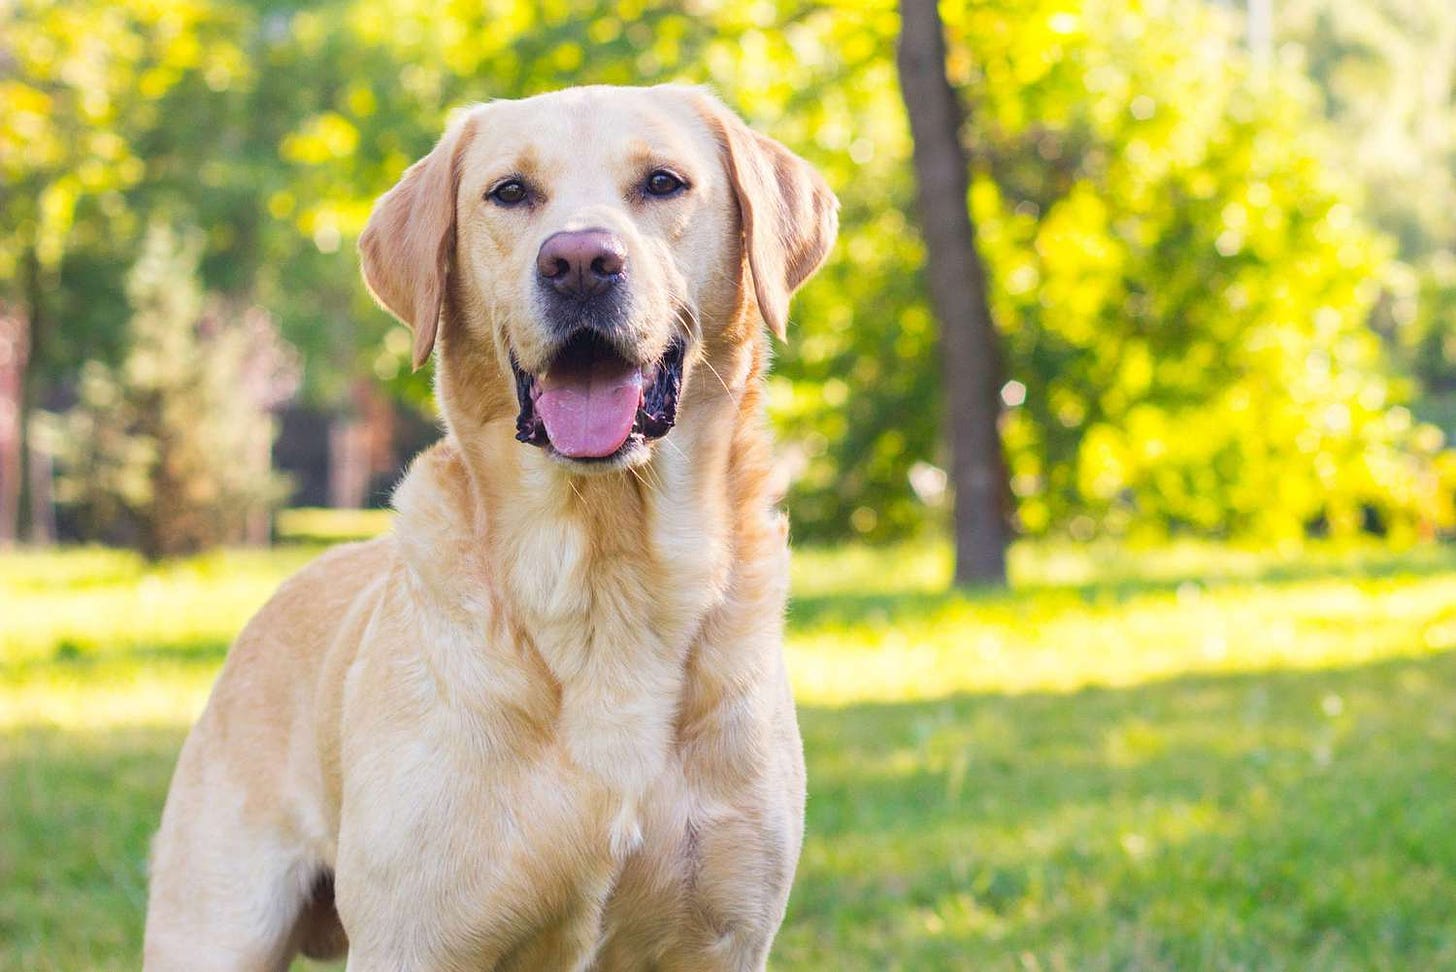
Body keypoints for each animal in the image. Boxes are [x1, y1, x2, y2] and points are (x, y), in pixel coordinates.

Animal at [146, 85, 838, 972]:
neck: (607, 571)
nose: (579, 262)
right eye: (510, 192)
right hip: (215, 923)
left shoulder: (722, 939)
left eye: (663, 182)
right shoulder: (412, 938)